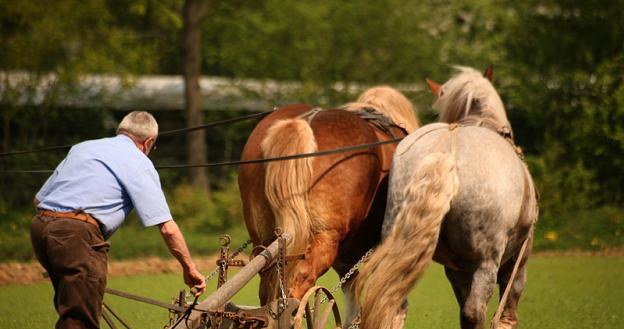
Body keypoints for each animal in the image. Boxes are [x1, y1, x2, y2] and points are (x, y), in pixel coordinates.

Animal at [354, 66, 540, 328]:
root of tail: (446, 154)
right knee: (476, 311)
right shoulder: (519, 256)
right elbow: (507, 308)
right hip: (486, 262)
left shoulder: (456, 269)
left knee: (393, 306)